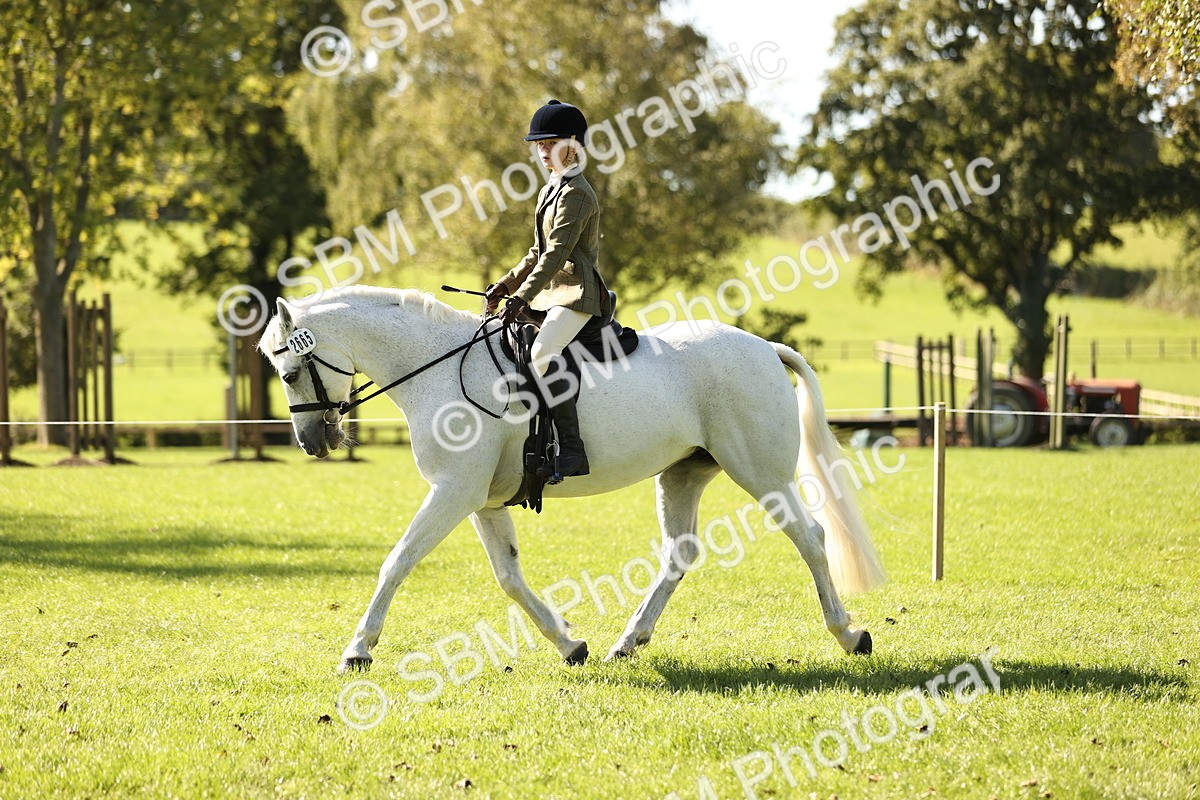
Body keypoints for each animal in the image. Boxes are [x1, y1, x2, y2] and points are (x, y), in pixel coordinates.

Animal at [258, 286, 885, 672]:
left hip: (759, 470)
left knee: (810, 538)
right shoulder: (482, 501)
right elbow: (509, 576)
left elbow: (397, 560)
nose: (313, 443)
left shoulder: (453, 492)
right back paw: (626, 643)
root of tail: (763, 347)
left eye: (288, 372)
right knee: (679, 555)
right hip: (682, 474)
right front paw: (569, 643)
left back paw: (850, 634)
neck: (435, 366)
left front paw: (358, 650)